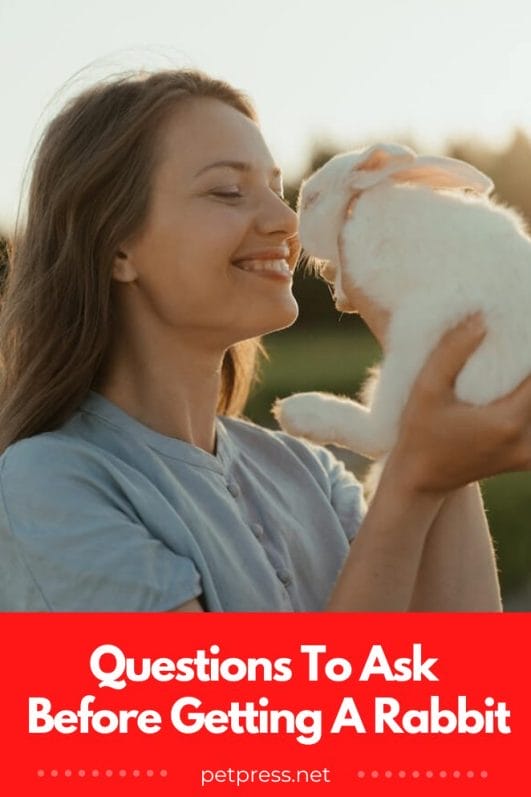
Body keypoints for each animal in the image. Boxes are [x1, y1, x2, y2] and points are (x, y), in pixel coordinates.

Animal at [271, 142, 531, 462]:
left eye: (311, 199)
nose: (296, 232)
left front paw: (342, 296)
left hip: (415, 344)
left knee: (382, 434)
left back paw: (296, 412)